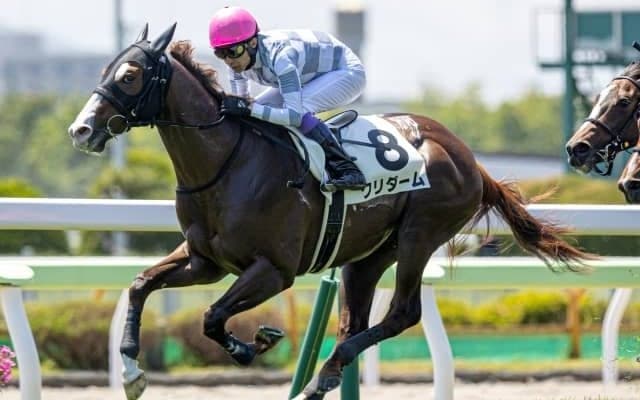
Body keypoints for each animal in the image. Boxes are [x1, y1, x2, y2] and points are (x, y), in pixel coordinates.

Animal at [68, 24, 593, 400]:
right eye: (106, 68)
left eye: (130, 75)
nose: (81, 130)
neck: (227, 164)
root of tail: (471, 159)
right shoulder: (205, 262)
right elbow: (141, 285)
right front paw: (132, 372)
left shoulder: (273, 270)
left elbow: (213, 317)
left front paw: (255, 343)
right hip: (369, 256)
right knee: (355, 319)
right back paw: (327, 376)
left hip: (420, 234)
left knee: (402, 313)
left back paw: (322, 375)